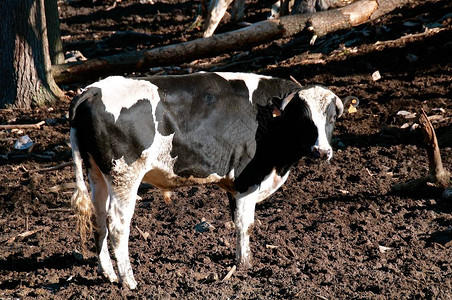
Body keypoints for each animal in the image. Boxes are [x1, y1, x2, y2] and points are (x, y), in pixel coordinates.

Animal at [69, 71, 346, 290]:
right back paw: (129, 281)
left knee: (99, 219)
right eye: (303, 118)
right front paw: (245, 264)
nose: (322, 151)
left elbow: (238, 221)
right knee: (117, 225)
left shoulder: (235, 184)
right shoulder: (248, 178)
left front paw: (241, 261)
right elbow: (246, 224)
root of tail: (93, 89)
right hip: (125, 175)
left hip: (97, 173)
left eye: (332, 118)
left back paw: (108, 274)